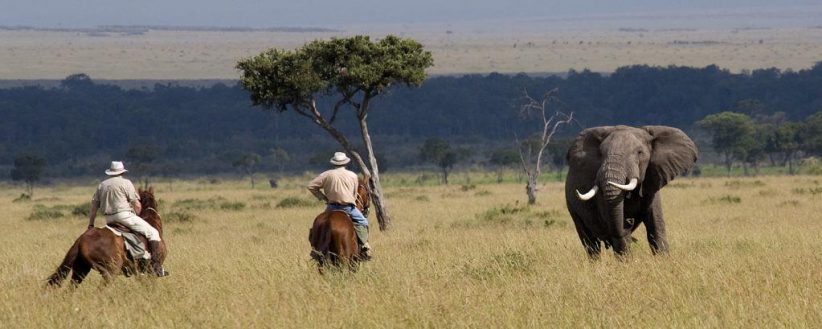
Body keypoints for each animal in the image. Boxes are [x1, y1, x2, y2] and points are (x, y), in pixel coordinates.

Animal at [568, 124, 700, 258]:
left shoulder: (651, 180)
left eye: (639, 152)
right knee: (591, 244)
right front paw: (626, 262)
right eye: (600, 154)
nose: (629, 220)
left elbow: (656, 225)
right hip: (573, 209)